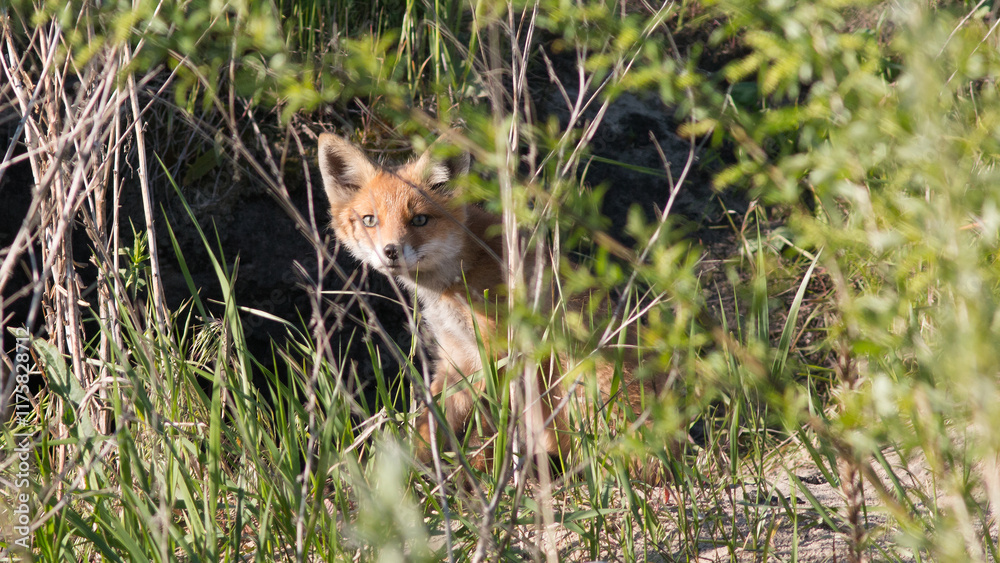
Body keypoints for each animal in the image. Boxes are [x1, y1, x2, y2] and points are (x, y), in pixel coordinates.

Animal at [317, 131, 664, 476]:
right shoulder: (457, 358)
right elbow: (430, 422)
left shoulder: (499, 354)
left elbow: (487, 430)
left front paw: (482, 474)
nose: (390, 251)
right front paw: (405, 471)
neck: (458, 275)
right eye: (369, 220)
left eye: (419, 220)